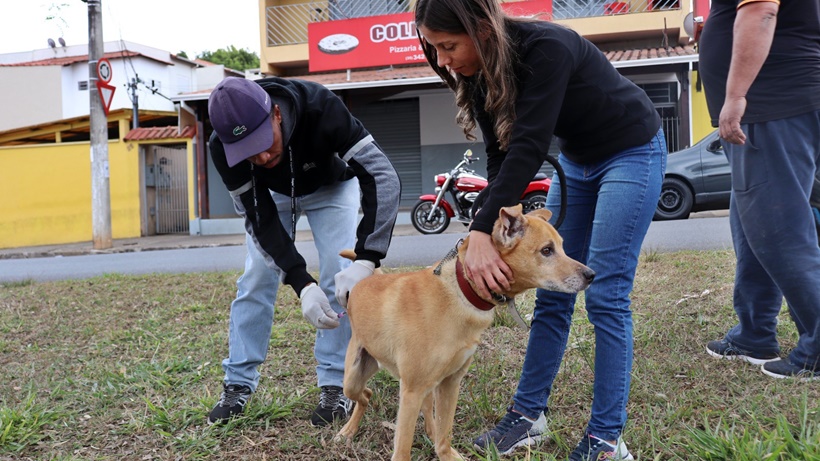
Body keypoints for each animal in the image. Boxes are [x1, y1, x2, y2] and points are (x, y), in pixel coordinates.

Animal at [334, 205, 596, 460]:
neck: (460, 291)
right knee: (365, 394)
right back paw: (348, 431)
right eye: (547, 250)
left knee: (389, 399)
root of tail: (365, 281)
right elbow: (403, 451)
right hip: (353, 379)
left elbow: (444, 436)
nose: (591, 275)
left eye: (561, 247)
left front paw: (445, 451)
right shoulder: (412, 390)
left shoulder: (450, 382)